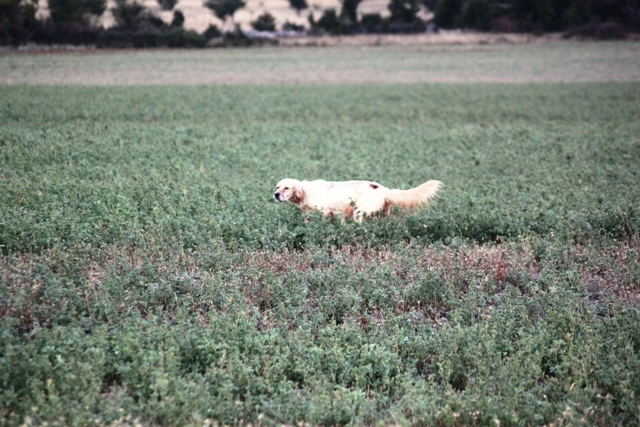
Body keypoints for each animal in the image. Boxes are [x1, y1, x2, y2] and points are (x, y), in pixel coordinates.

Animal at [272, 178, 442, 222]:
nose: (276, 195)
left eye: (287, 188)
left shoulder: (326, 211)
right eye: (277, 187)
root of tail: (384, 189)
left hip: (359, 212)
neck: (306, 192)